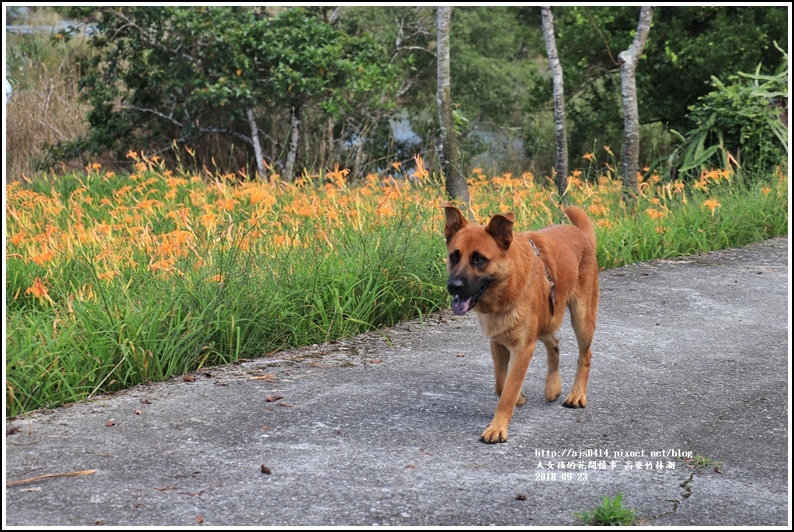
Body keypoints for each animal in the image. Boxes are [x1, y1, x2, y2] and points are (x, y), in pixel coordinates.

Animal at [442, 204, 596, 444]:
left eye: (479, 259)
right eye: (454, 256)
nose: (453, 286)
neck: (508, 283)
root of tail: (581, 234)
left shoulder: (523, 349)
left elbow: (508, 391)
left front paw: (497, 428)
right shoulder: (498, 342)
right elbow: (501, 384)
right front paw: (519, 398)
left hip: (581, 319)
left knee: (585, 355)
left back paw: (577, 394)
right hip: (546, 319)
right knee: (554, 343)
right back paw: (553, 387)